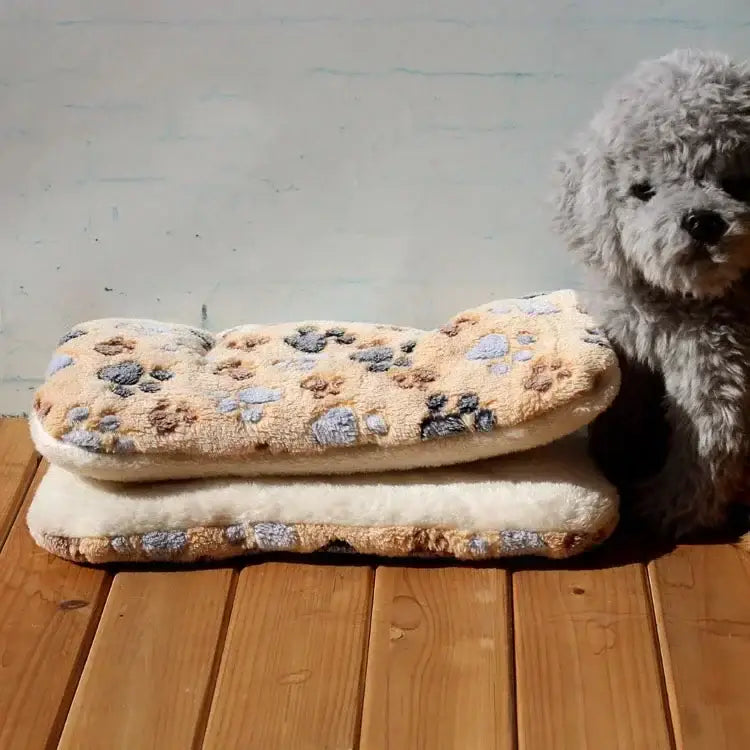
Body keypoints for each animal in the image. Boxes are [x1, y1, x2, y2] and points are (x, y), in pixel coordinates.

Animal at [556, 48, 750, 540]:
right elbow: (623, 409)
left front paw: (671, 511)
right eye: (642, 190)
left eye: (738, 184)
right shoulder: (631, 350)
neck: (678, 301)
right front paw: (616, 465)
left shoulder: (717, 375)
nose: (703, 221)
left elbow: (708, 445)